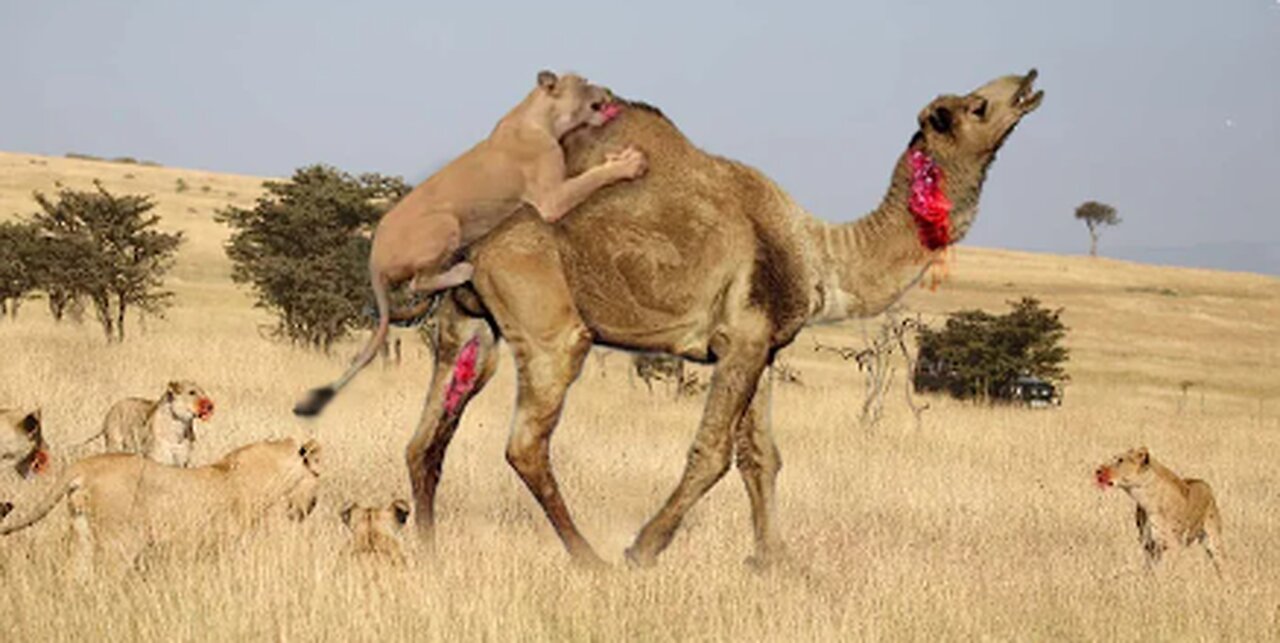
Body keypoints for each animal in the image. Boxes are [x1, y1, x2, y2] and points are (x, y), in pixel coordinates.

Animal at [396, 67, 1039, 566]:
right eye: (976, 106)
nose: (1028, 81)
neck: (821, 253)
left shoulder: (763, 347)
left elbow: (763, 458)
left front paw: (773, 561)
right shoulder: (742, 338)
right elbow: (712, 455)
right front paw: (643, 549)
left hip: (468, 319)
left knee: (427, 438)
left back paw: (430, 551)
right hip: (547, 320)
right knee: (525, 443)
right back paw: (590, 558)